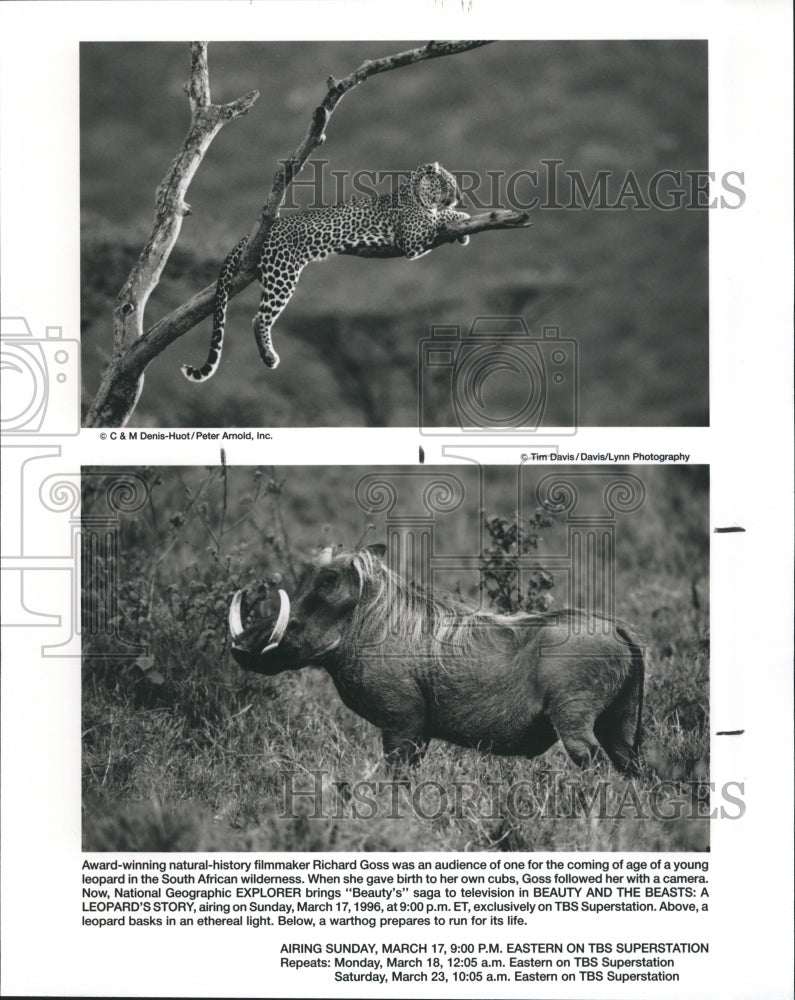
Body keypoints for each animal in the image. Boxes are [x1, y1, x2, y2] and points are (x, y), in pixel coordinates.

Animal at [181, 162, 469, 381]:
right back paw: (269, 355)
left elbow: (439, 218)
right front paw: (460, 217)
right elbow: (439, 217)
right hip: (282, 274)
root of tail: (251, 234)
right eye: (449, 182)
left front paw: (461, 232)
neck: (417, 193)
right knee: (260, 318)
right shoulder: (412, 239)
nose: (460, 197)